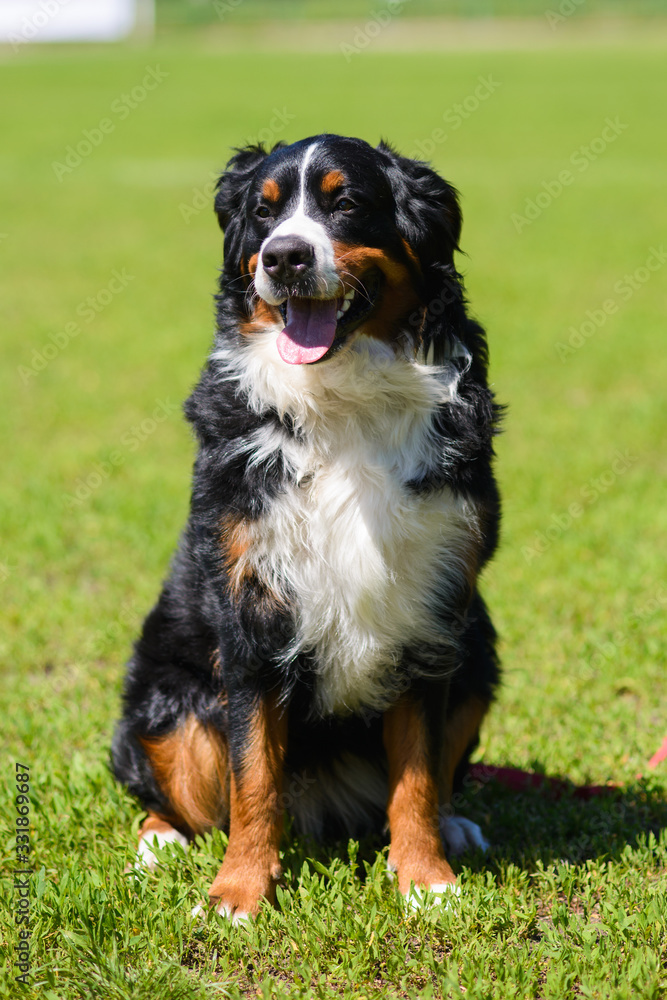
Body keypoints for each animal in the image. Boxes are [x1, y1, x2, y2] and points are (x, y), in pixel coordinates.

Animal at [112, 133, 500, 920]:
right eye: (263, 214)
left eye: (344, 201)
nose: (283, 256)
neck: (341, 398)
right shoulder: (250, 613)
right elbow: (254, 775)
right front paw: (237, 893)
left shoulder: (429, 607)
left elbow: (417, 775)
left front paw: (425, 879)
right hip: (169, 700)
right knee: (176, 795)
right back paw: (160, 843)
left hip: (479, 653)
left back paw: (456, 828)